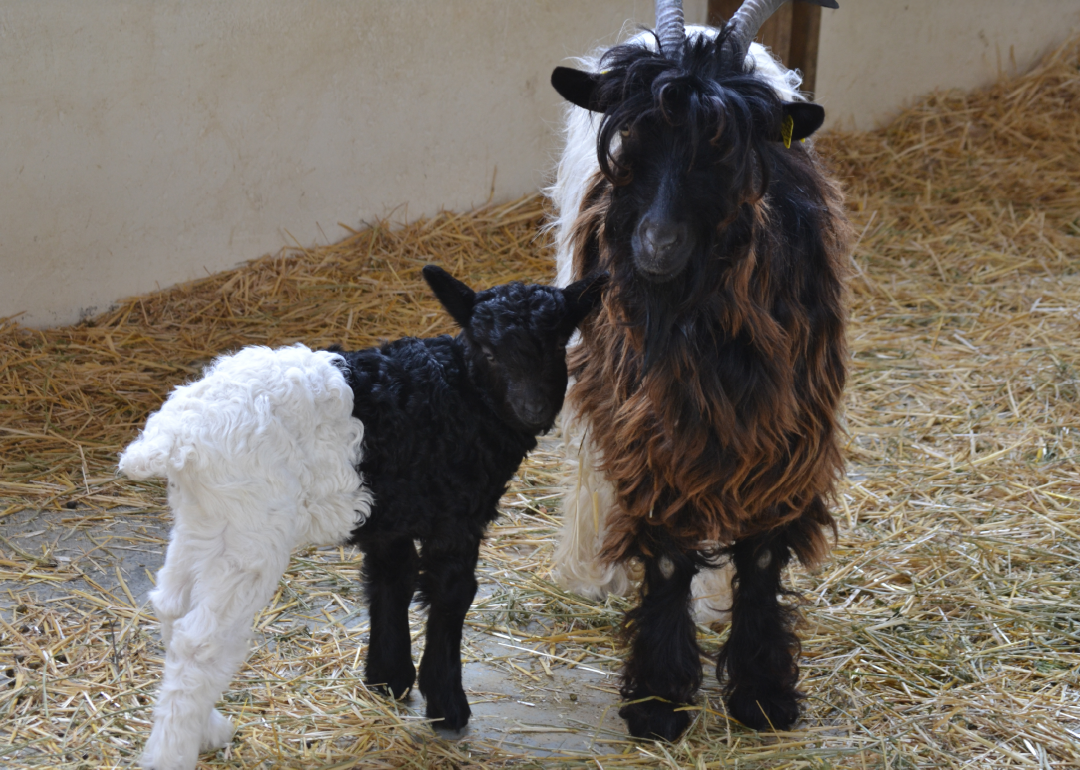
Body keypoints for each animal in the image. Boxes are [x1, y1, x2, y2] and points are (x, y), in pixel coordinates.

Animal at [119, 266, 606, 770]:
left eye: (558, 344)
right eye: (489, 351)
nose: (534, 409)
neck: (458, 394)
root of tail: (172, 438)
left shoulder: (390, 514)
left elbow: (391, 579)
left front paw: (387, 679)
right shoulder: (457, 516)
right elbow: (451, 594)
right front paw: (446, 704)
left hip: (206, 521)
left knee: (171, 607)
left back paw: (208, 729)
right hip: (249, 536)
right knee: (199, 639)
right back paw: (172, 753)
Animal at [547, 0, 850, 741]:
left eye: (725, 151)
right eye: (633, 142)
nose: (654, 246)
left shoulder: (790, 435)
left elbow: (762, 558)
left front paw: (764, 693)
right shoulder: (644, 419)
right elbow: (663, 553)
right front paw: (658, 699)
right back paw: (589, 571)